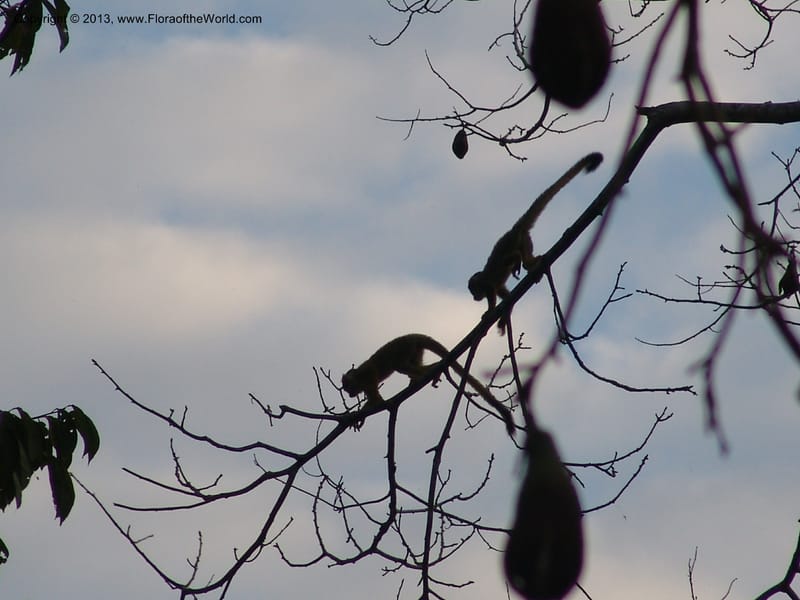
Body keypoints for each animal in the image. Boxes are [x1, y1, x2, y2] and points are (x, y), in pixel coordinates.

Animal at [341, 333, 515, 436]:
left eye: (348, 388)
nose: (349, 395)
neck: (358, 377)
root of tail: (411, 336)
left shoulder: (367, 375)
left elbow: (377, 401)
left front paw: (356, 416)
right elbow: (375, 400)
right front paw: (357, 418)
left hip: (406, 348)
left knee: (400, 366)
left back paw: (433, 369)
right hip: (415, 350)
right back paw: (422, 376)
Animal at [468, 152, 603, 333]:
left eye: (474, 291)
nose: (475, 298)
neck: (481, 279)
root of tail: (514, 229)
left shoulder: (486, 283)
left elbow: (492, 291)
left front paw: (489, 312)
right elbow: (507, 296)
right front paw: (505, 317)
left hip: (518, 241)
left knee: (511, 258)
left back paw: (519, 260)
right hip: (526, 241)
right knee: (526, 259)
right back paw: (536, 262)